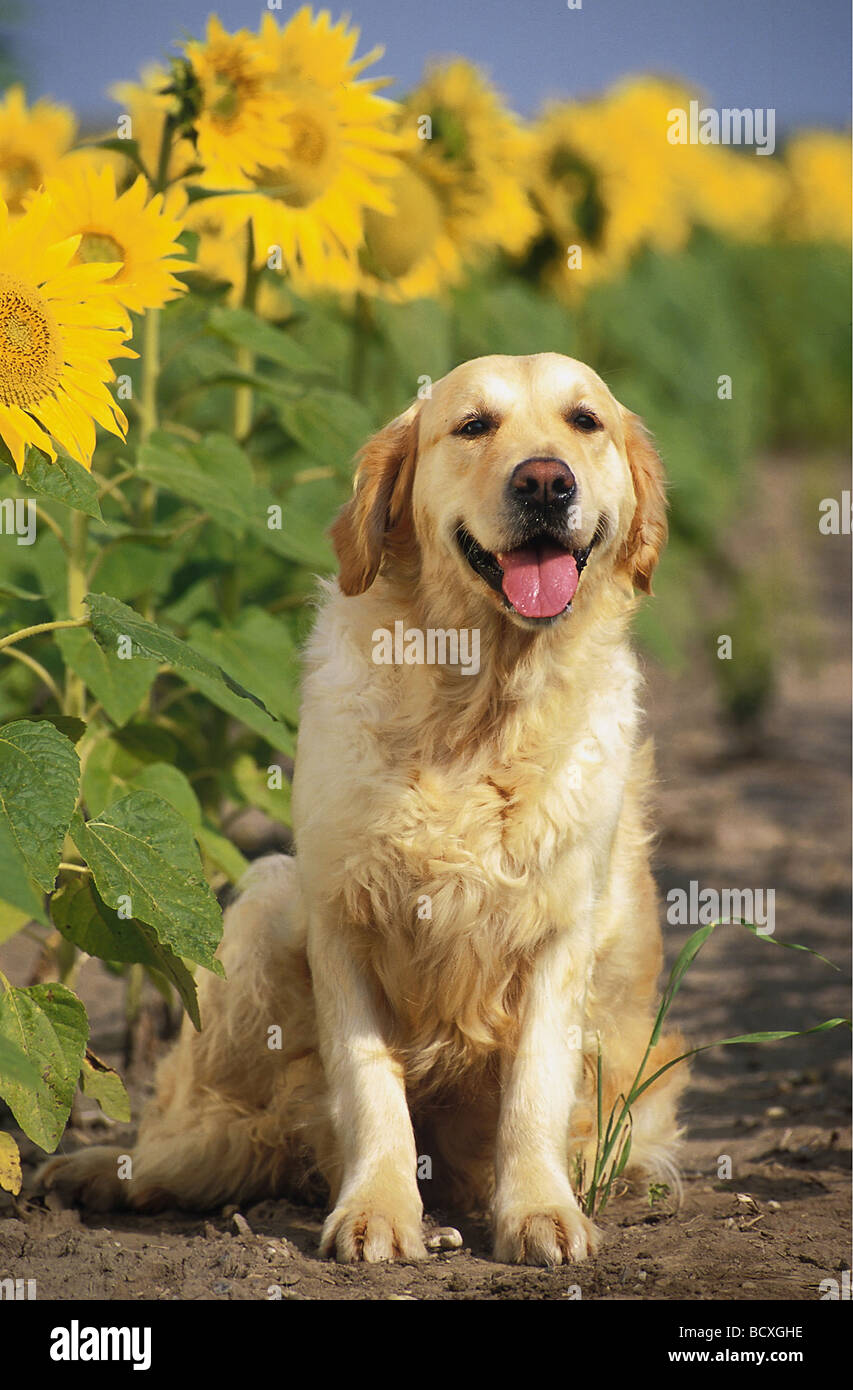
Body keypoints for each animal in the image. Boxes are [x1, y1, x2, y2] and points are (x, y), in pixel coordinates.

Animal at [40, 353, 689, 1267]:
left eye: (584, 421)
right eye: (473, 426)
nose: (545, 481)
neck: (477, 708)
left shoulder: (559, 931)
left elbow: (533, 1091)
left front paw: (538, 1212)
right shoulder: (341, 918)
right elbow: (369, 1084)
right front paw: (378, 1210)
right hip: (266, 902)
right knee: (212, 1130)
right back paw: (106, 1170)